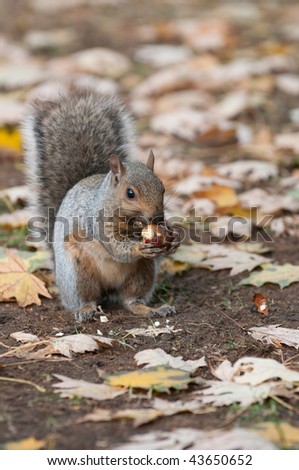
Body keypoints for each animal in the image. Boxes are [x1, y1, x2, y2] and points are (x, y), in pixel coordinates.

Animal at [22, 84, 180, 322]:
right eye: (130, 193)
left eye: (162, 188)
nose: (157, 218)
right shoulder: (96, 220)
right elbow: (116, 247)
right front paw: (139, 246)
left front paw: (173, 238)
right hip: (78, 274)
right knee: (86, 298)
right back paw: (86, 311)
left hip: (142, 273)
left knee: (131, 300)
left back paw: (152, 309)